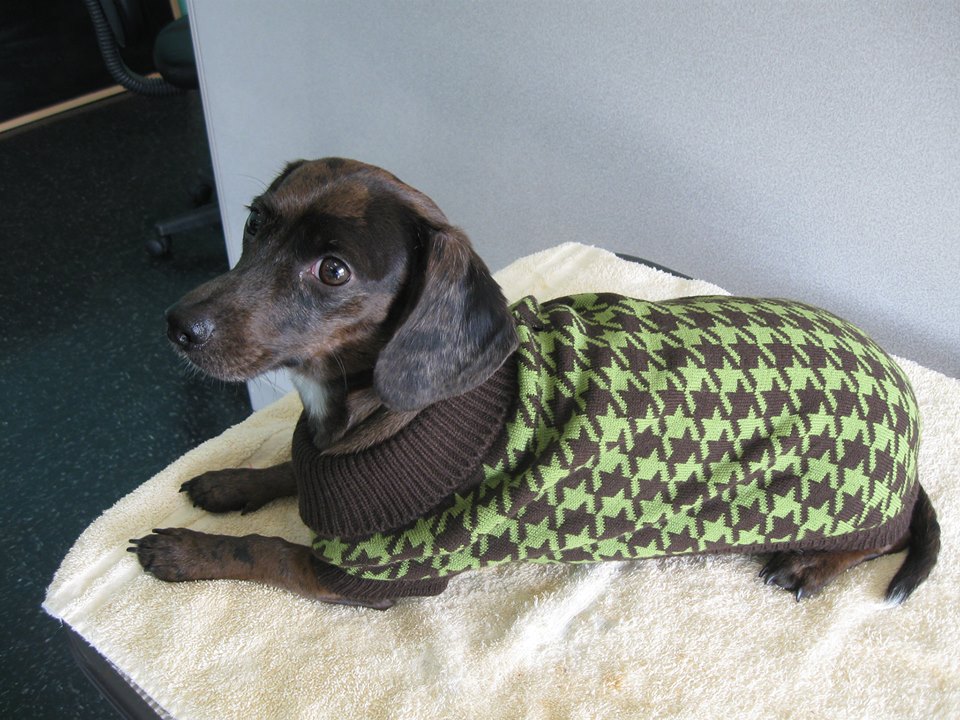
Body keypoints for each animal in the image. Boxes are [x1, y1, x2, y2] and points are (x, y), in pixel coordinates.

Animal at [127, 156, 936, 608]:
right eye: (254, 225)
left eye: (333, 270)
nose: (177, 324)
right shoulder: (329, 471)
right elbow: (286, 471)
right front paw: (229, 482)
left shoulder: (380, 575)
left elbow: (267, 551)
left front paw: (182, 550)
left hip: (847, 515)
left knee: (881, 540)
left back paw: (809, 567)